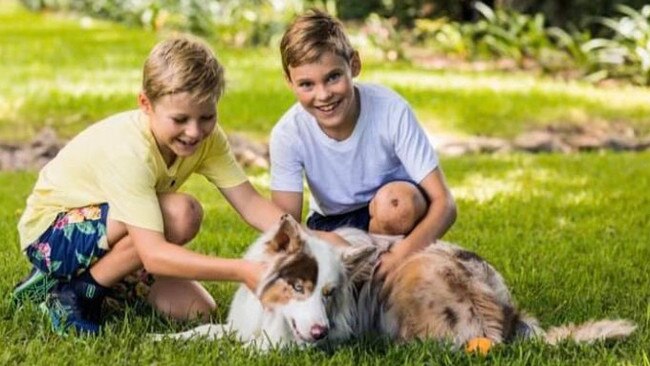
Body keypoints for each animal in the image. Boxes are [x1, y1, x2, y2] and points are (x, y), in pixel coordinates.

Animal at [154, 214, 636, 352]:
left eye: (330, 294)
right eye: (299, 288)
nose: (320, 332)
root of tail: (511, 315)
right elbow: (209, 329)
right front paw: (166, 338)